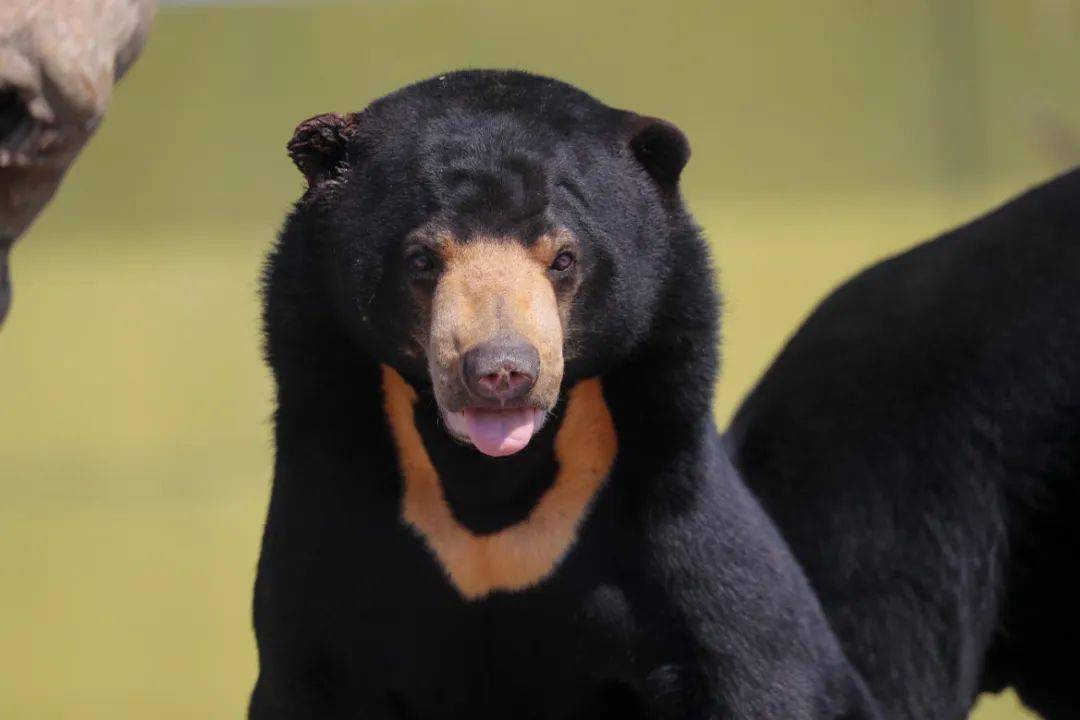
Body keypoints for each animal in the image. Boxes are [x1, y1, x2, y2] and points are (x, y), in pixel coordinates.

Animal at [252, 69, 876, 720]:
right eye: (421, 259)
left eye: (564, 258)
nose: (501, 372)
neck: (488, 485)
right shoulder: (331, 517)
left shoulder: (675, 520)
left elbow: (750, 655)